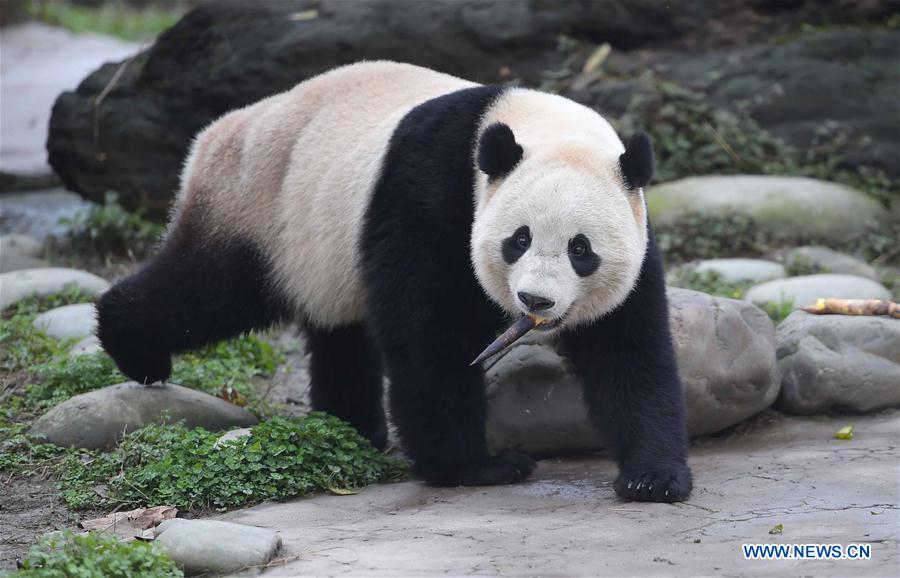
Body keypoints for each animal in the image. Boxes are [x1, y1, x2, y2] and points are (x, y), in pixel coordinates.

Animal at [96, 59, 688, 500]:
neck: (537, 125)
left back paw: (353, 426)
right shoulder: (431, 191)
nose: (535, 300)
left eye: (580, 250)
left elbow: (628, 348)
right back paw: (134, 346)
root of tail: (215, 134)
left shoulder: (636, 230)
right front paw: (475, 466)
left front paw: (653, 477)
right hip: (257, 205)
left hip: (317, 243)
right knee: (208, 291)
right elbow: (429, 333)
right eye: (517, 240)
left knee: (337, 330)